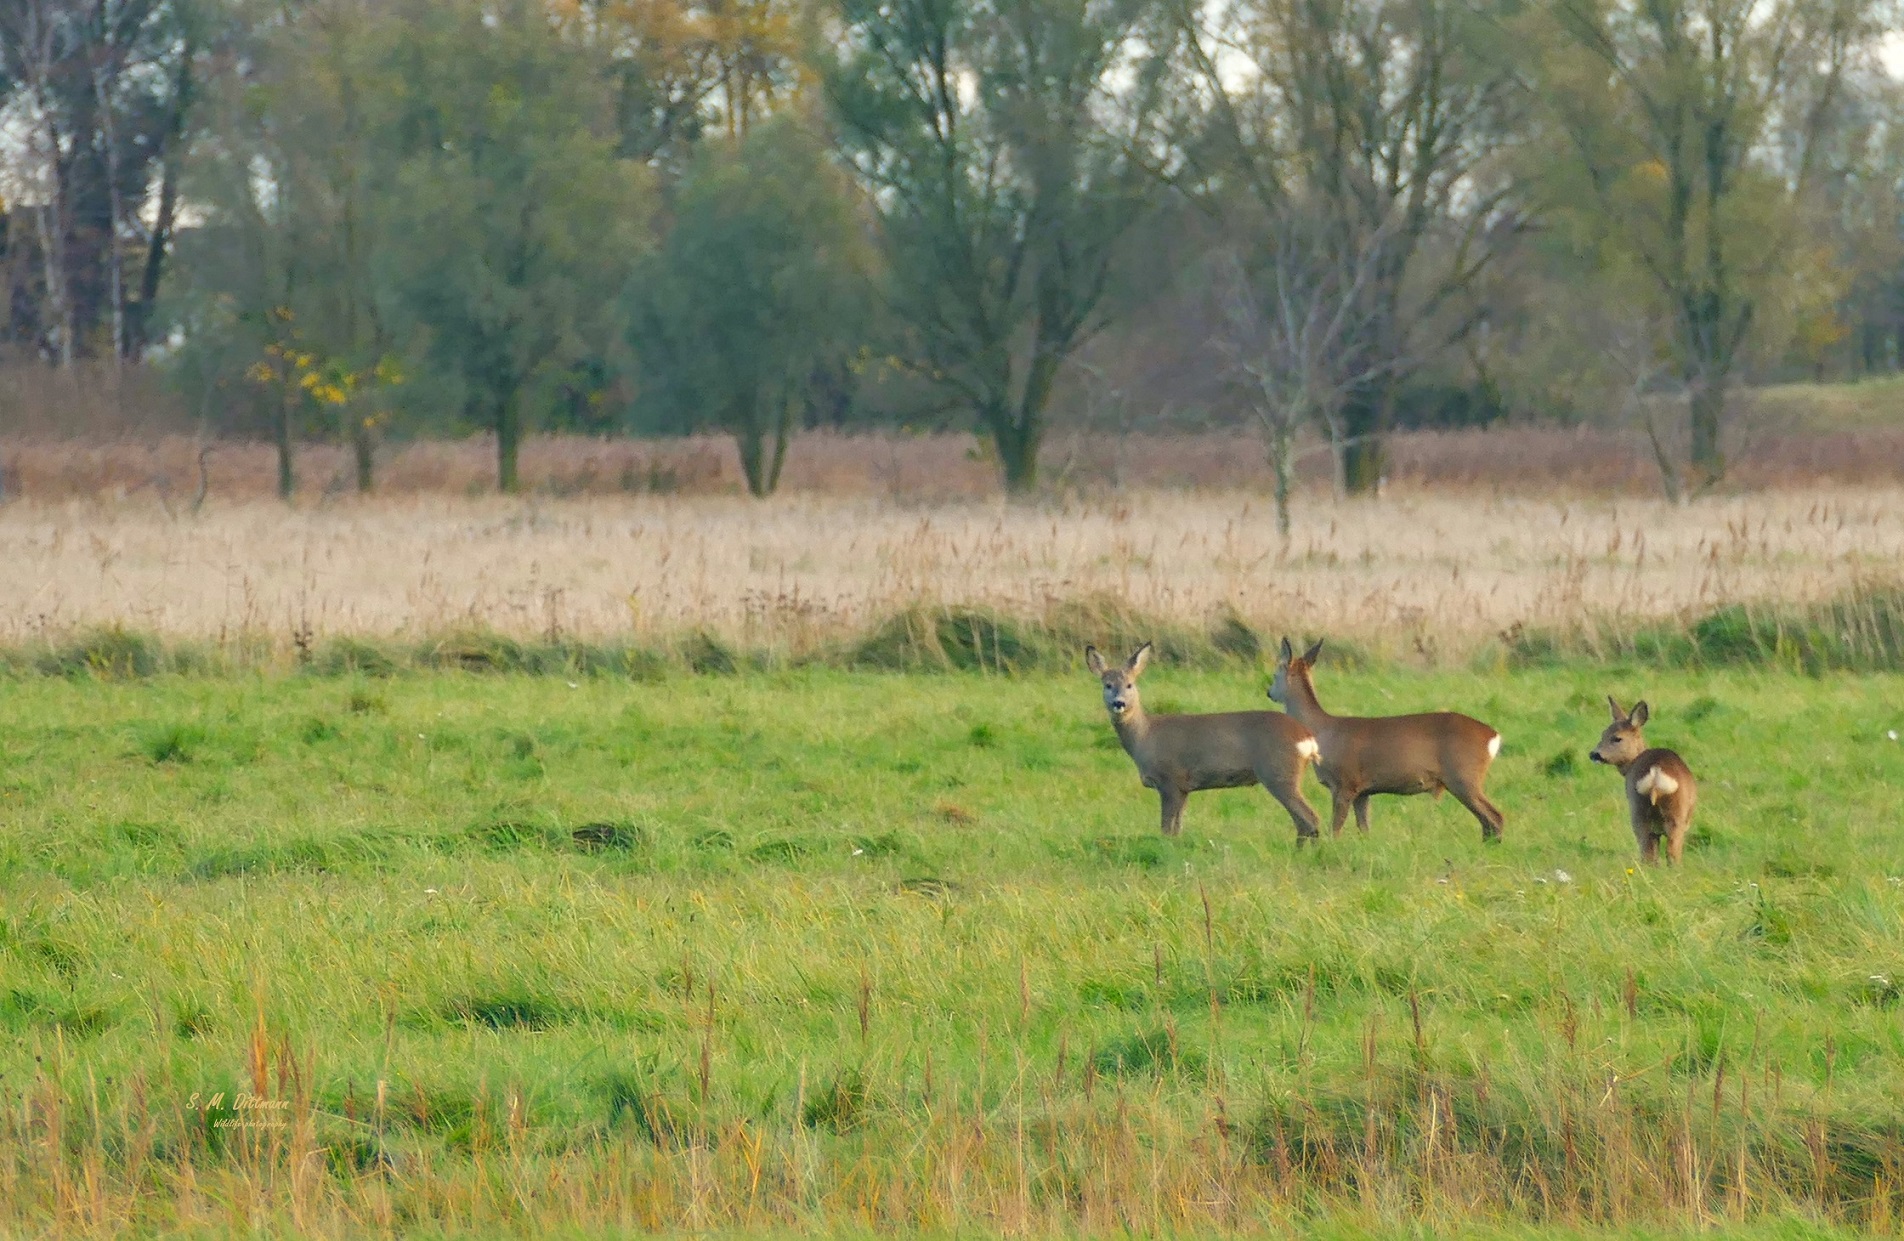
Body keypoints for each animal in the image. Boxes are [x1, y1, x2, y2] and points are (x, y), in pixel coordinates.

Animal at [1089, 643, 1325, 837]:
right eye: (1107, 685)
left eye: (1130, 685)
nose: (1119, 703)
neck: (1146, 736)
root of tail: (1307, 737)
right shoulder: (1184, 788)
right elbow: (1177, 829)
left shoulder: (1170, 780)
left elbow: (1166, 829)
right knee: (1302, 822)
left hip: (1279, 773)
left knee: (1310, 818)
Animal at [1264, 639, 1500, 845]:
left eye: (1275, 674)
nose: (1268, 692)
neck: (1321, 732)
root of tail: (1493, 736)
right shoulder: (1363, 792)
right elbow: (1364, 830)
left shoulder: (1345, 783)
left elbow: (1335, 829)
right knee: (1488, 820)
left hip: (1464, 776)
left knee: (1494, 817)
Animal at [1584, 696, 1705, 864]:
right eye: (1603, 734)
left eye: (1617, 738)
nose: (1594, 754)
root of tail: (1656, 772)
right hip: (1663, 813)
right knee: (1663, 853)